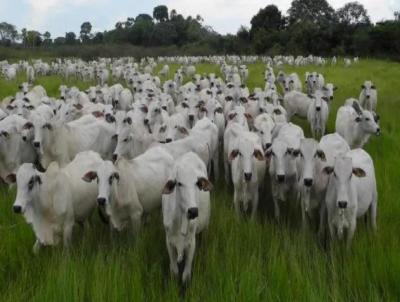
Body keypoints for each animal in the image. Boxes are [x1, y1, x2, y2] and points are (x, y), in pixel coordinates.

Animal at [162, 152, 212, 284]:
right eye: (179, 183)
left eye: (197, 183)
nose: (193, 211)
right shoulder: (169, 242)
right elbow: (174, 271)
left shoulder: (191, 243)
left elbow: (186, 276)